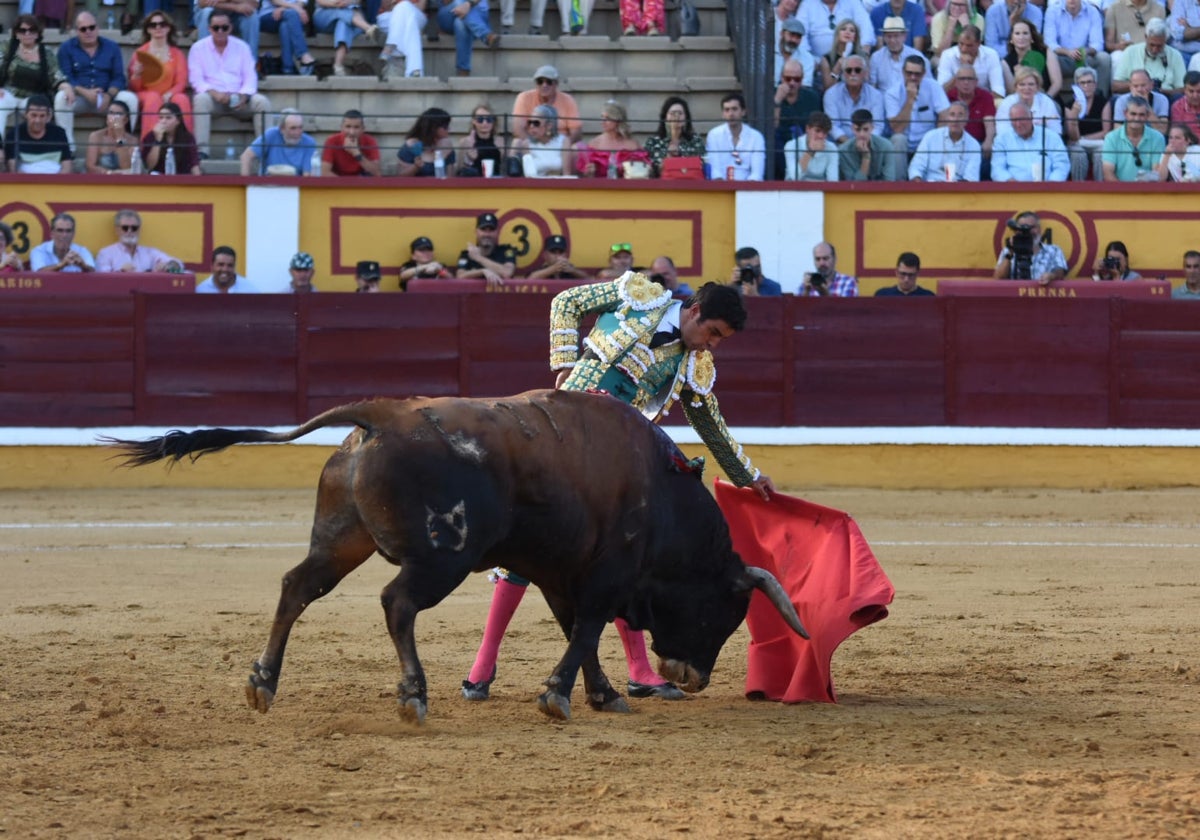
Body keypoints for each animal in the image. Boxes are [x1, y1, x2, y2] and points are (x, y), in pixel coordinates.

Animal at [110, 391, 806, 724]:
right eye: (725, 614)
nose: (694, 678)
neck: (661, 494)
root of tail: (381, 414)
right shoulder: (607, 575)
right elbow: (586, 630)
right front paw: (559, 697)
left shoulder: (563, 575)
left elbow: (575, 632)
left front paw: (604, 695)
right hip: (442, 558)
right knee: (397, 603)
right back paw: (413, 695)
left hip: (341, 537)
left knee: (296, 587)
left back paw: (262, 683)